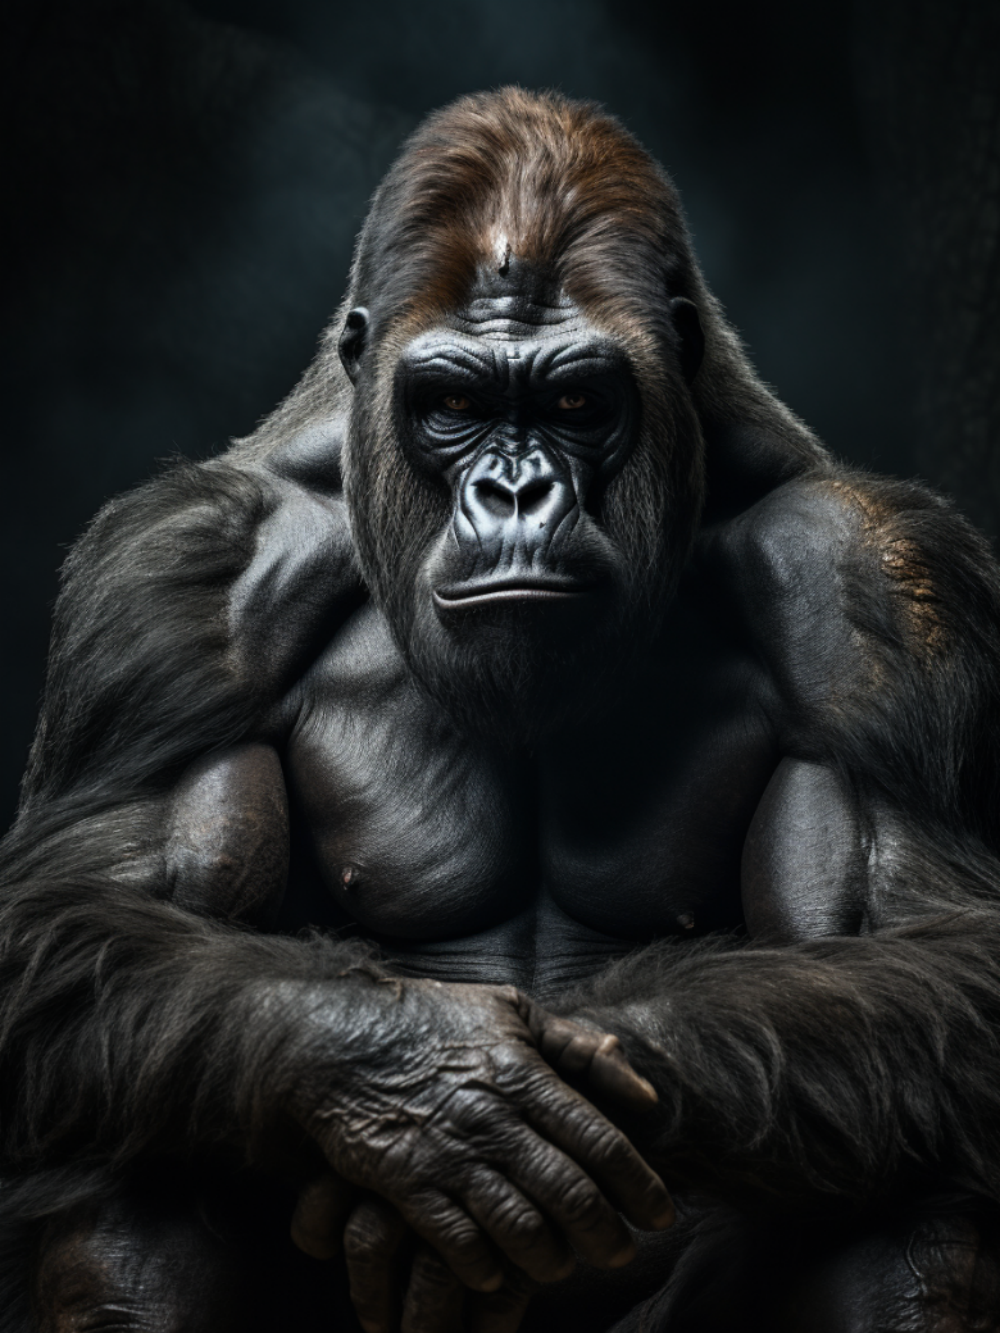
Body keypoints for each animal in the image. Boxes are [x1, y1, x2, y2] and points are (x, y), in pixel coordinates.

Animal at [3, 87, 1000, 1333]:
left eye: (574, 401)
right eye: (454, 404)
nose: (515, 489)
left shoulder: (879, 582)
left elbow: (939, 947)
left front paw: (621, 1055)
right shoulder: (169, 577)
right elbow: (76, 915)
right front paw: (412, 1080)